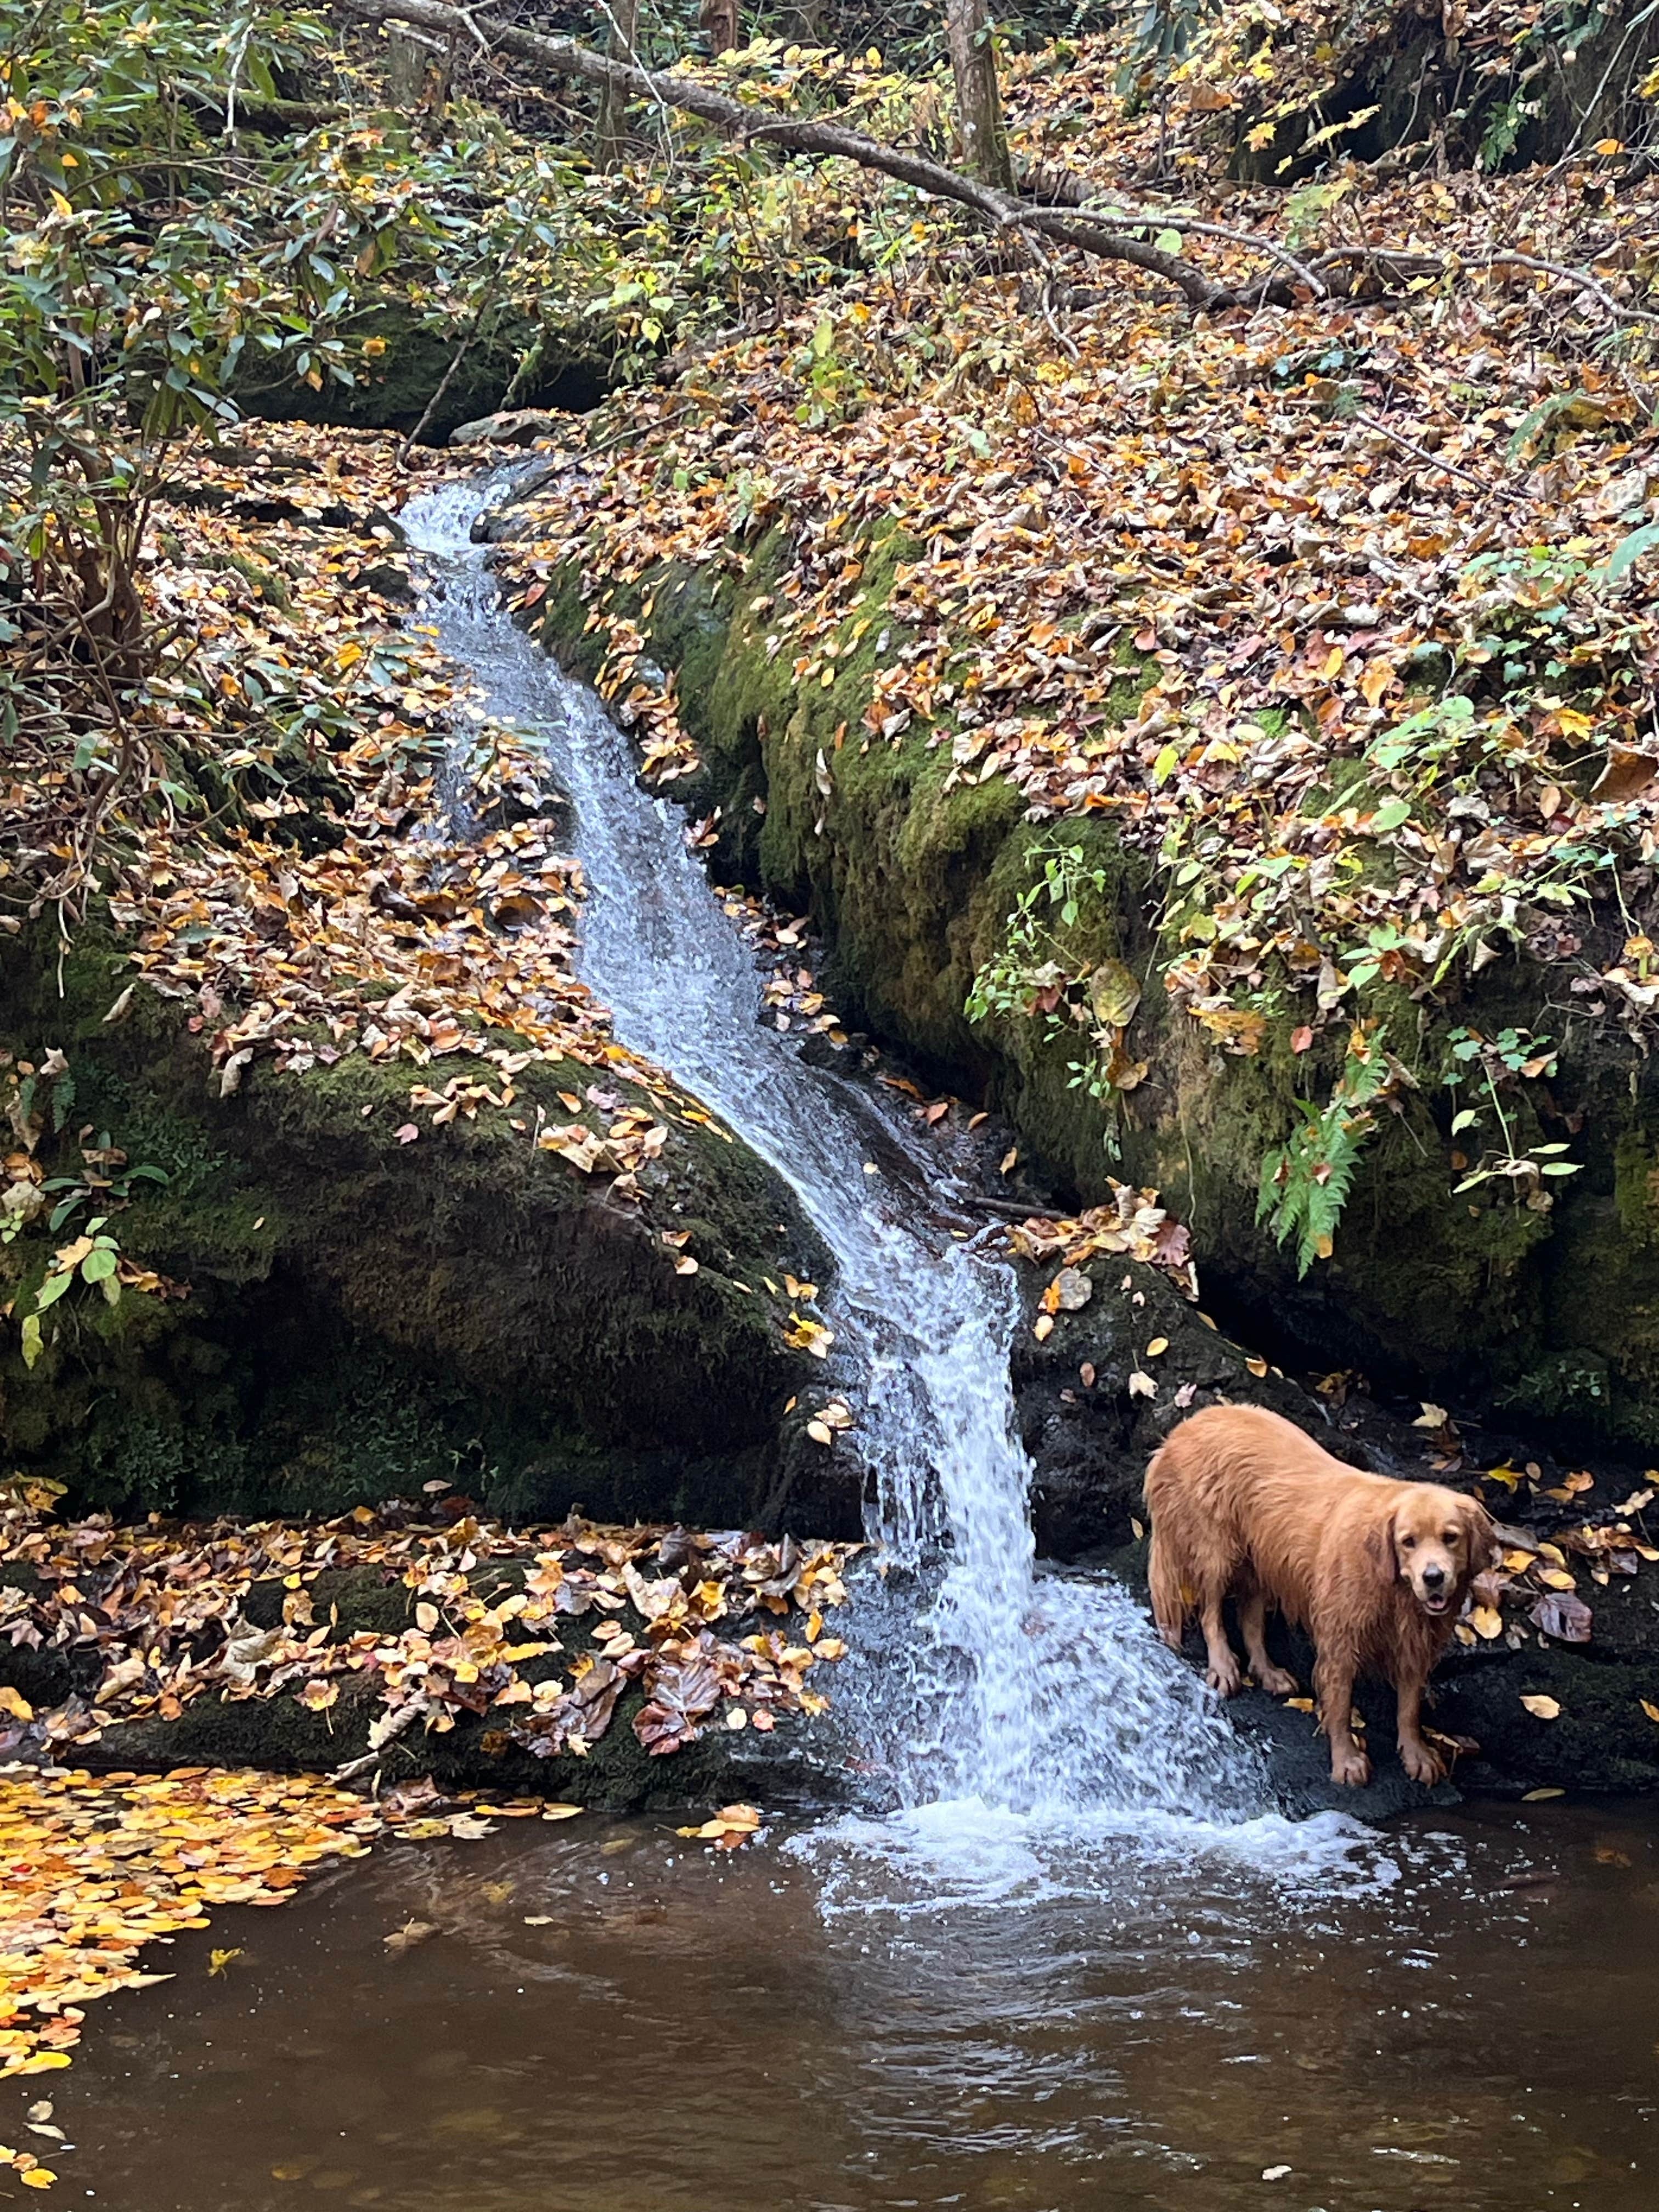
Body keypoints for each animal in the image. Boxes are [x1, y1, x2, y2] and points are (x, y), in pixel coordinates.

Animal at [1150, 1407, 1504, 1787]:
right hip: (1217, 1550)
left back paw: (1269, 1672)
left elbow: (1409, 1708)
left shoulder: (1413, 1644)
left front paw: (1416, 1755)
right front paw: (1347, 1761)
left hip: (1261, 1559)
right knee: (1211, 1612)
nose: (1434, 1578)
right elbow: (1340, 1707)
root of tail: (1187, 1426)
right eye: (1408, 1541)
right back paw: (1222, 1667)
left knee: (1251, 1620)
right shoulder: (1340, 1643)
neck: (1394, 1590)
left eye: (1450, 1537)